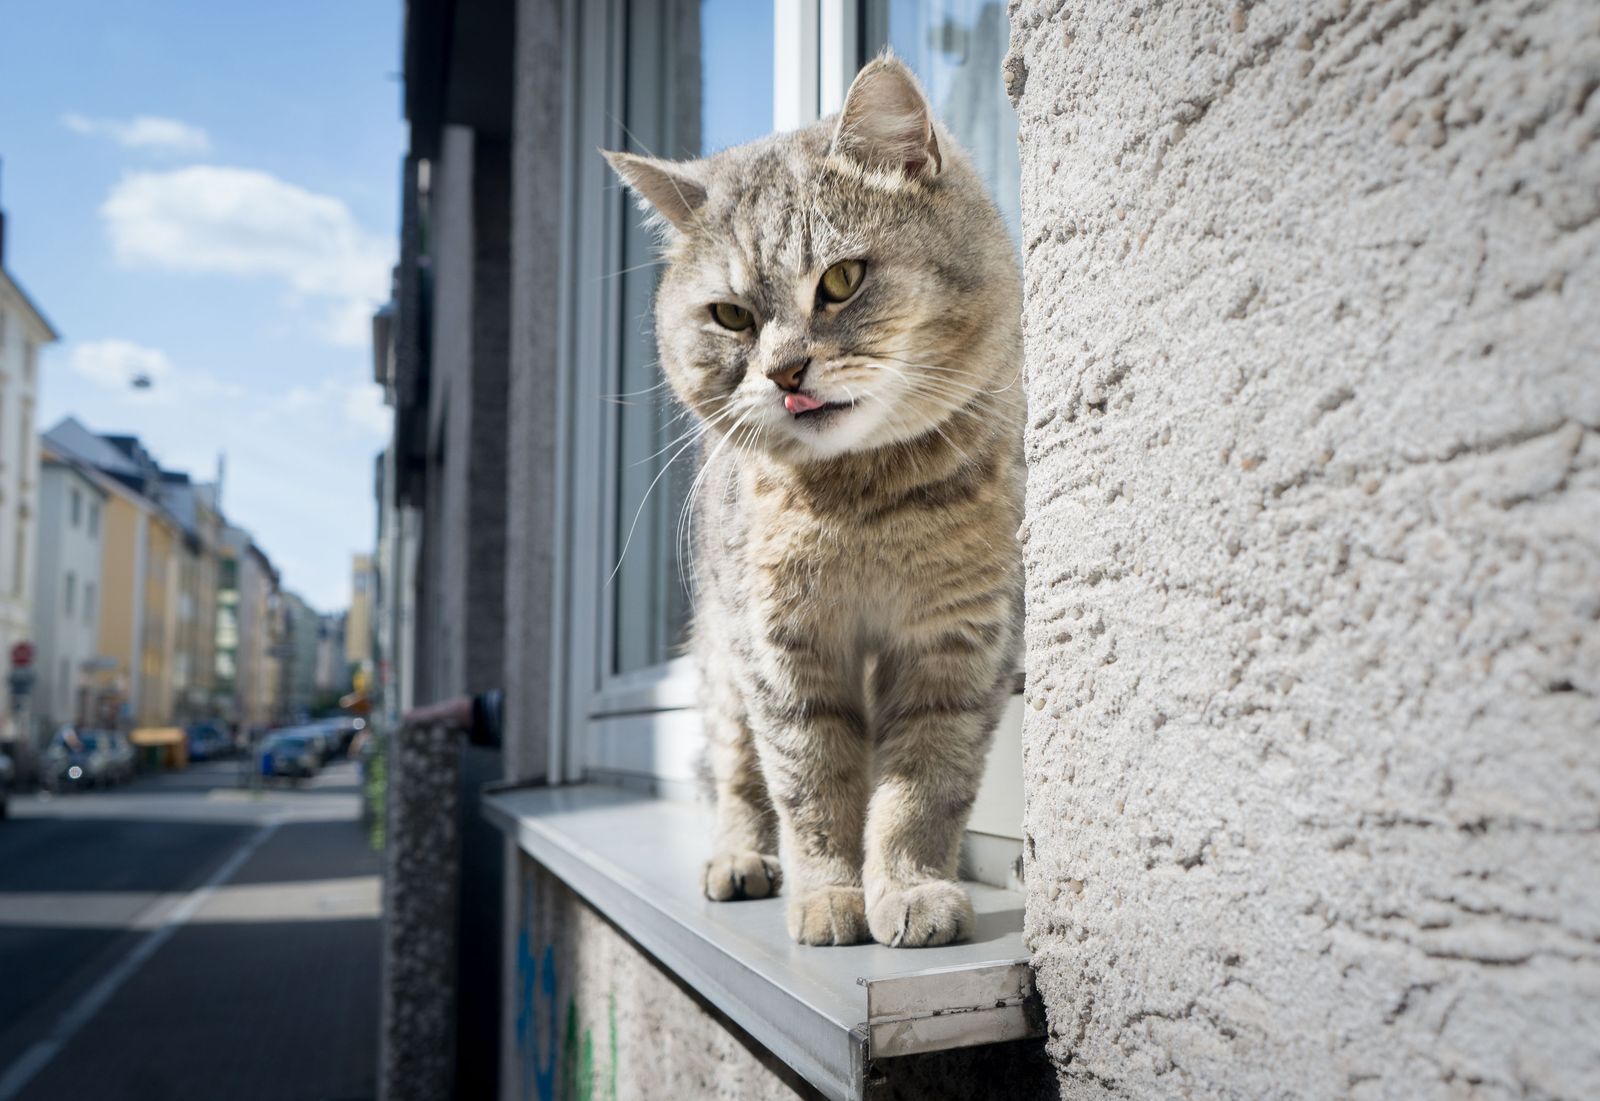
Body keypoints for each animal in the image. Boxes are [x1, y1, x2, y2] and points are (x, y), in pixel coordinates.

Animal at [604, 53, 1017, 947]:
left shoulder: (959, 645)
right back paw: (741, 857)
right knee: (737, 772)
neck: (866, 504)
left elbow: (922, 787)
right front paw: (829, 894)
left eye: (842, 279)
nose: (785, 370)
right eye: (730, 315)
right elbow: (813, 784)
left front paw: (909, 885)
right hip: (722, 656)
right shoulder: (784, 654)